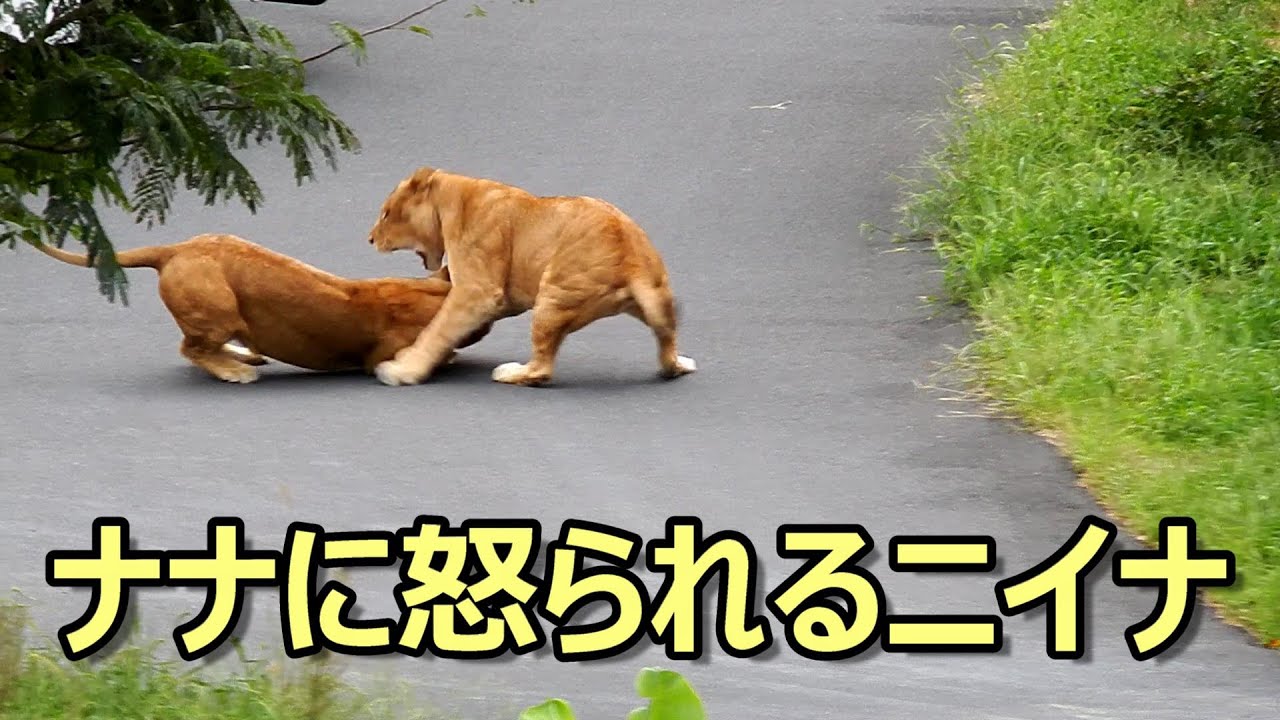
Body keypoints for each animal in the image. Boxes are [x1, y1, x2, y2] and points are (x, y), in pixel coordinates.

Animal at [31, 233, 491, 383]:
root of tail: (175, 249)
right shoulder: (382, 355)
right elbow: (438, 353)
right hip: (218, 309)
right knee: (191, 348)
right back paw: (237, 371)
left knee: (198, 346)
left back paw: (243, 355)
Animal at [365, 166, 697, 387]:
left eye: (386, 213)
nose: (370, 239)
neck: (452, 195)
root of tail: (630, 259)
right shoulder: (502, 299)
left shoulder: (478, 291)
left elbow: (437, 329)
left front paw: (403, 370)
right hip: (656, 298)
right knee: (667, 337)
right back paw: (679, 364)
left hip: (553, 298)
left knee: (541, 370)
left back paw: (510, 372)